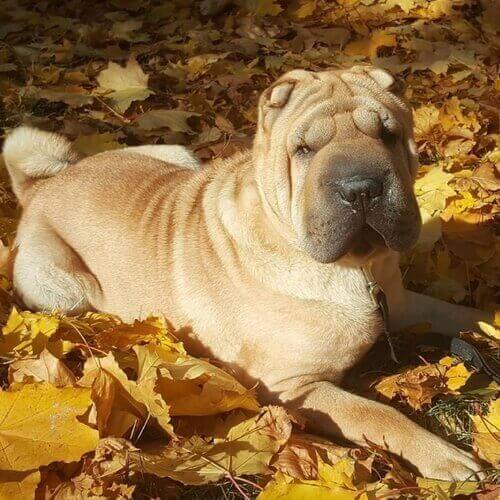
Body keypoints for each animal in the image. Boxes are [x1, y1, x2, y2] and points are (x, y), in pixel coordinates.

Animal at [1, 65, 492, 480]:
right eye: (304, 150)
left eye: (389, 135)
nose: (362, 188)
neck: (357, 269)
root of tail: (40, 186)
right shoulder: (293, 387)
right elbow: (374, 413)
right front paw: (443, 454)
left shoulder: (404, 303)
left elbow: (467, 314)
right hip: (66, 288)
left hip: (177, 153)